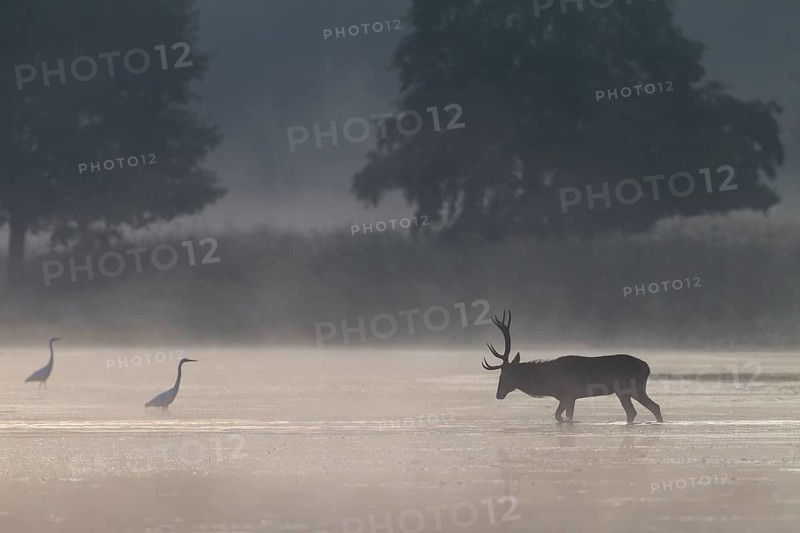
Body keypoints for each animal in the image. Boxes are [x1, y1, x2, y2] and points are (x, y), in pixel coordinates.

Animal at [481, 311, 663, 424]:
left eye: (504, 375)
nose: (498, 394)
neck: (547, 383)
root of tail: (647, 367)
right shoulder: (572, 397)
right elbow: (567, 415)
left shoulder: (567, 394)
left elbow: (558, 415)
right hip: (631, 390)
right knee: (647, 408)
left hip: (627, 389)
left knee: (641, 409)